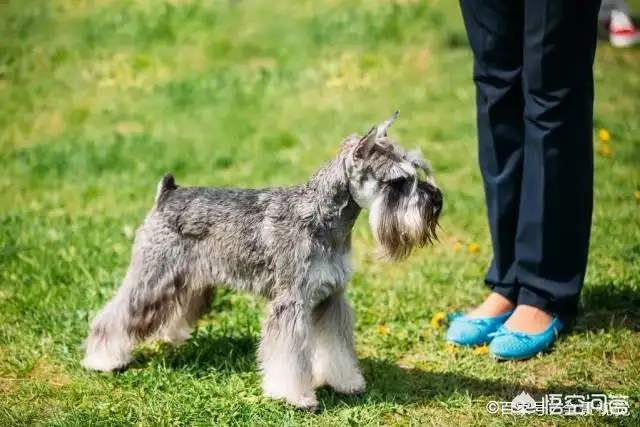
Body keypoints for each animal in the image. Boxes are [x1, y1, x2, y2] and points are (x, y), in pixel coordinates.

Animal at [80, 112, 442, 412]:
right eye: (397, 181)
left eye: (417, 170)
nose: (437, 199)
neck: (324, 217)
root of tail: (167, 193)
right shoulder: (290, 303)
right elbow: (289, 357)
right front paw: (295, 397)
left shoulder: (331, 298)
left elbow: (336, 347)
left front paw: (346, 382)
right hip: (154, 276)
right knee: (117, 315)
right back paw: (103, 360)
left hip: (189, 280)